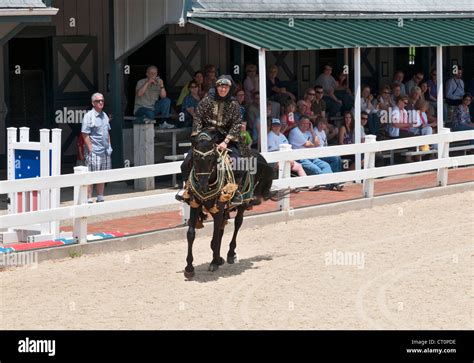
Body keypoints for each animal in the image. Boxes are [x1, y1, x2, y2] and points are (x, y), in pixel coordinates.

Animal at [182, 131, 272, 278]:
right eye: (195, 159)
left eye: (211, 158)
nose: (202, 186)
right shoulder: (195, 205)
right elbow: (191, 235)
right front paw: (189, 268)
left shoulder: (218, 208)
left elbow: (214, 239)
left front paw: (214, 262)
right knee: (221, 229)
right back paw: (220, 258)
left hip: (242, 204)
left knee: (237, 224)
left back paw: (230, 254)